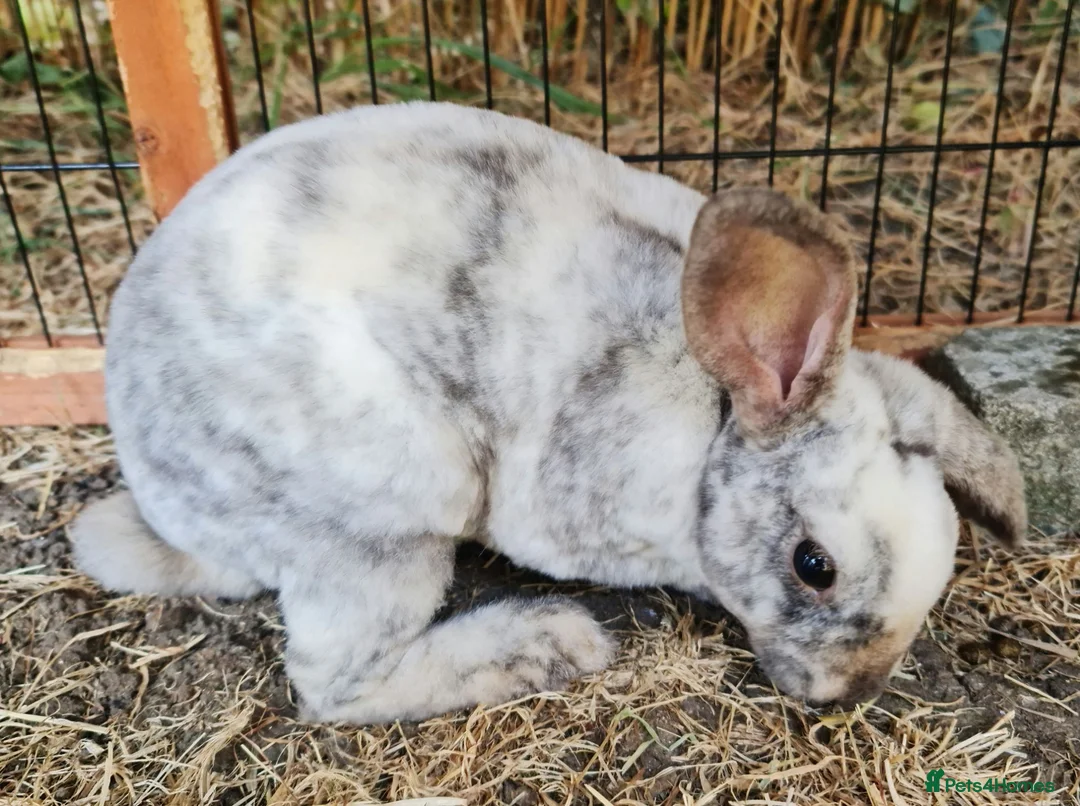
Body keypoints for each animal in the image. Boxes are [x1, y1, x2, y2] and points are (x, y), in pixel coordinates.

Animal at [69, 101, 1027, 725]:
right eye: (813, 566)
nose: (848, 696)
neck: (714, 422)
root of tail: (167, 499)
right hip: (386, 511)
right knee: (334, 685)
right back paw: (552, 642)